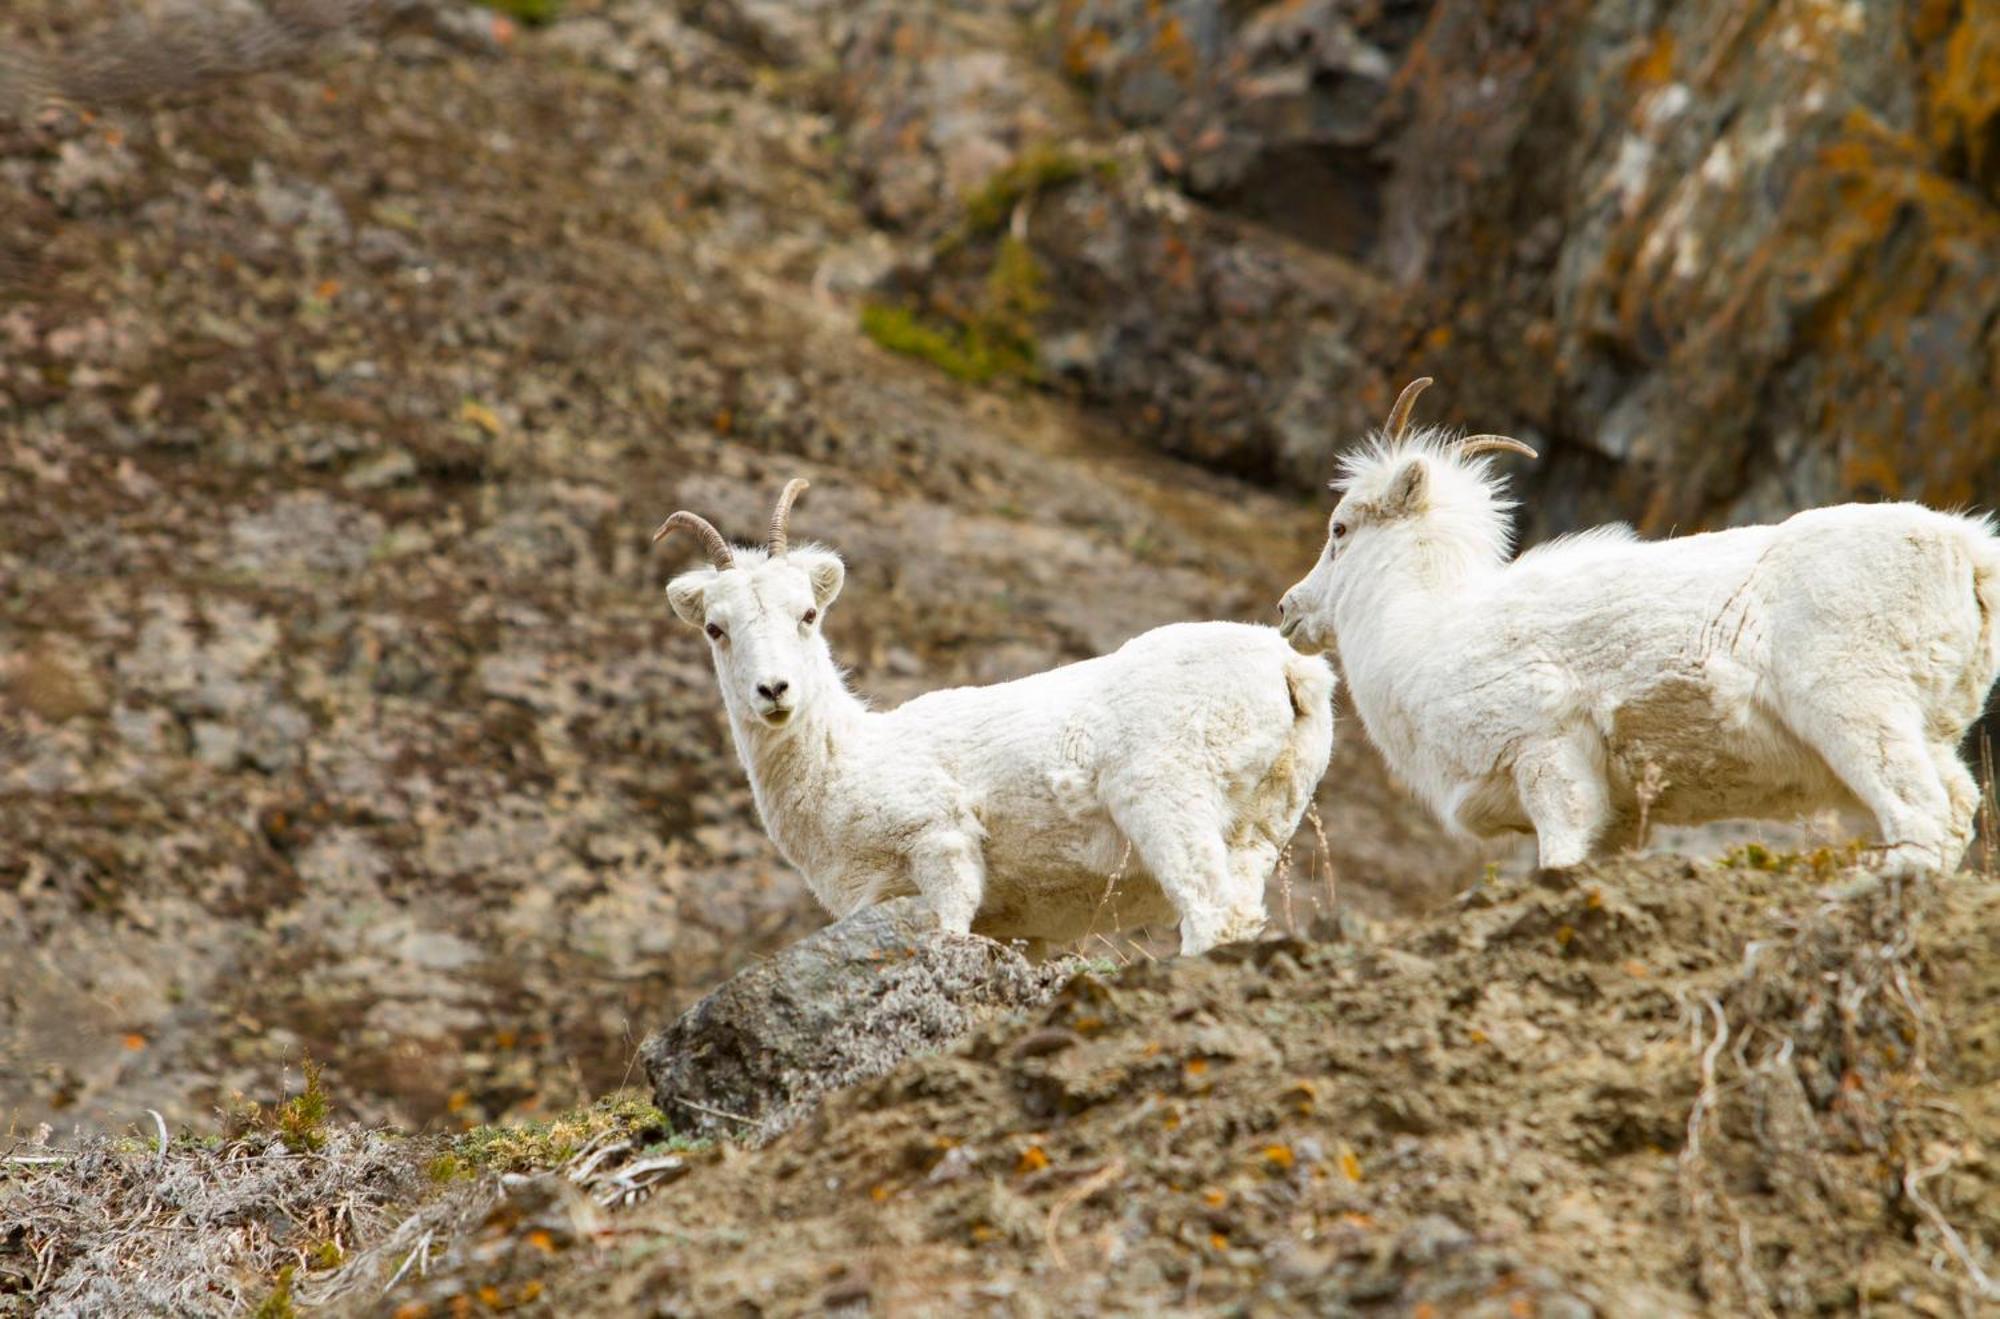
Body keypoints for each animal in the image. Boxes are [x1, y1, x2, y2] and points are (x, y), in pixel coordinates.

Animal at [664, 479, 1336, 951]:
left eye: (807, 613)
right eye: (717, 629)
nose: (774, 690)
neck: (845, 761)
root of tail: (1287, 668)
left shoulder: (941, 848)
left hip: (1168, 804)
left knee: (1211, 916)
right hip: (1260, 829)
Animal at [1272, 381, 2000, 875]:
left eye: (1340, 529)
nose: (1288, 611)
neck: (1424, 630)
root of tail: (1968, 552)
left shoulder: (1548, 761)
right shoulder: (1619, 819)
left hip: (1858, 714)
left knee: (1919, 817)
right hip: (1924, 733)